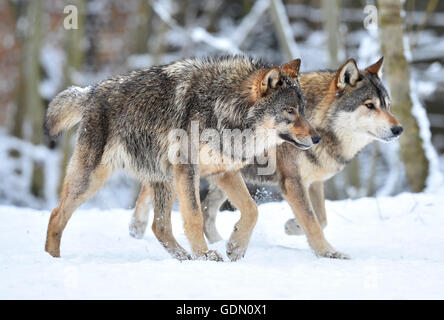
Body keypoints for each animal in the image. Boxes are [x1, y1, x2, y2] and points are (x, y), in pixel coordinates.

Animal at [44, 54, 320, 260]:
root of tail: (91, 90)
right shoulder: (189, 170)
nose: (317, 138)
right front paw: (205, 256)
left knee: (159, 226)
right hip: (92, 180)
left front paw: (235, 247)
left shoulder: (224, 172)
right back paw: (52, 259)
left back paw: (184, 258)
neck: (223, 107)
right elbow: (196, 217)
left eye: (303, 110)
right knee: (56, 215)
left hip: (163, 180)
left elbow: (252, 210)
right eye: (290, 111)